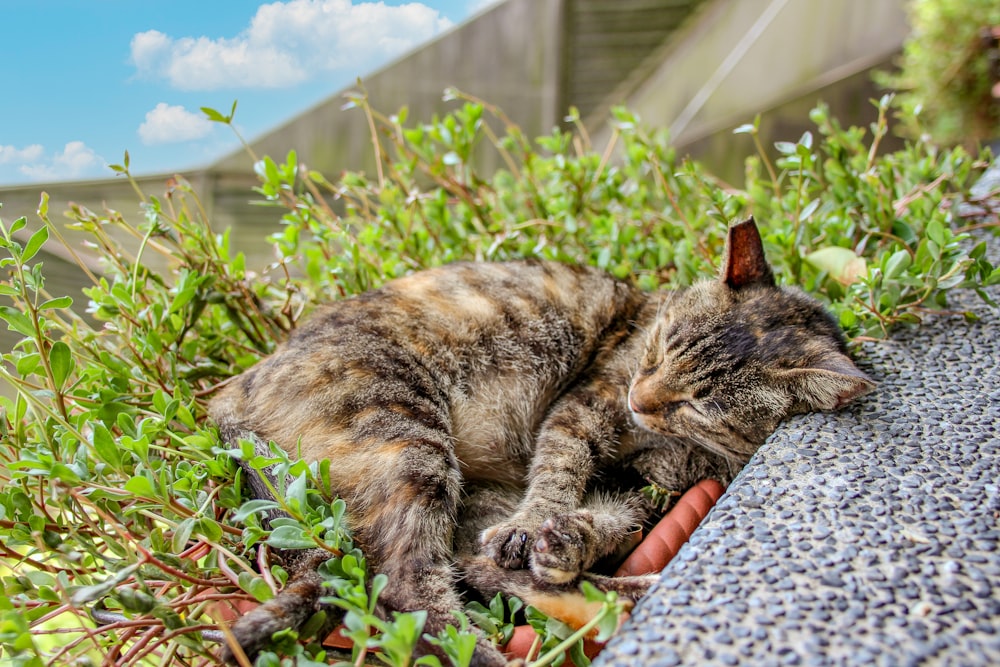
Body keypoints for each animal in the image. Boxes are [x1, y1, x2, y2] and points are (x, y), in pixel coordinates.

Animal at [211, 220, 876, 667]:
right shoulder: (584, 407)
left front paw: (566, 541)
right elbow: (560, 471)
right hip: (410, 443)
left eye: (699, 404)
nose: (641, 398)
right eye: (661, 345)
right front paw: (543, 525)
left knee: (469, 569)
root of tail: (228, 391)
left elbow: (611, 519)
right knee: (409, 592)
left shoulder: (652, 484)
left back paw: (624, 593)